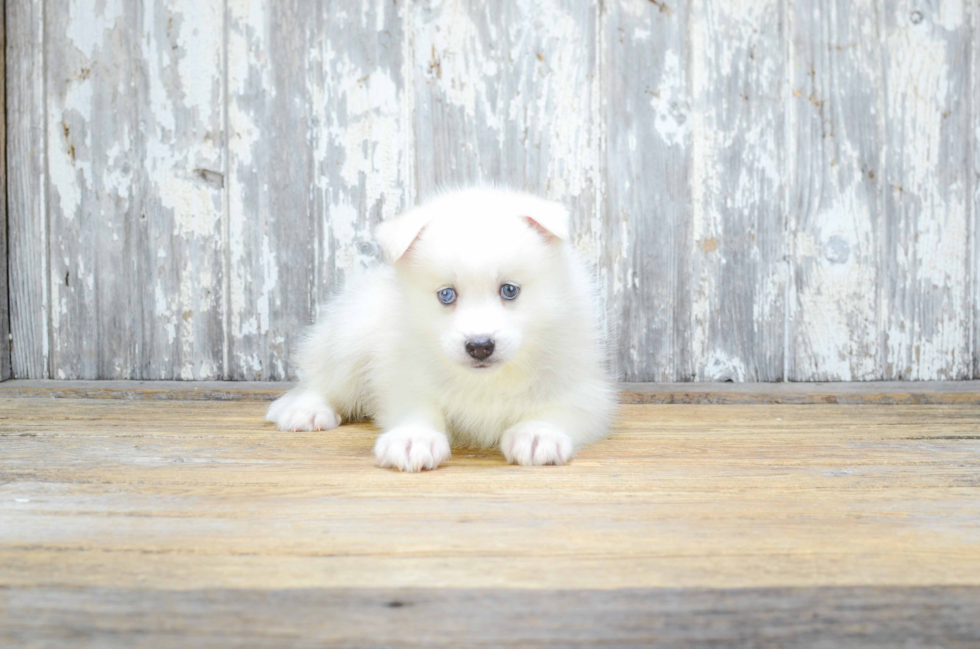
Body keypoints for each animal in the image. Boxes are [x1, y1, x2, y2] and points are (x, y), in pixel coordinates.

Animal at [264, 187, 616, 470]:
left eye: (509, 290)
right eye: (446, 295)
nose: (479, 346)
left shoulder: (584, 386)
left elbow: (563, 408)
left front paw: (537, 433)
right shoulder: (404, 372)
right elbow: (418, 406)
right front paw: (413, 438)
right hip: (350, 338)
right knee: (323, 380)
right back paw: (306, 410)